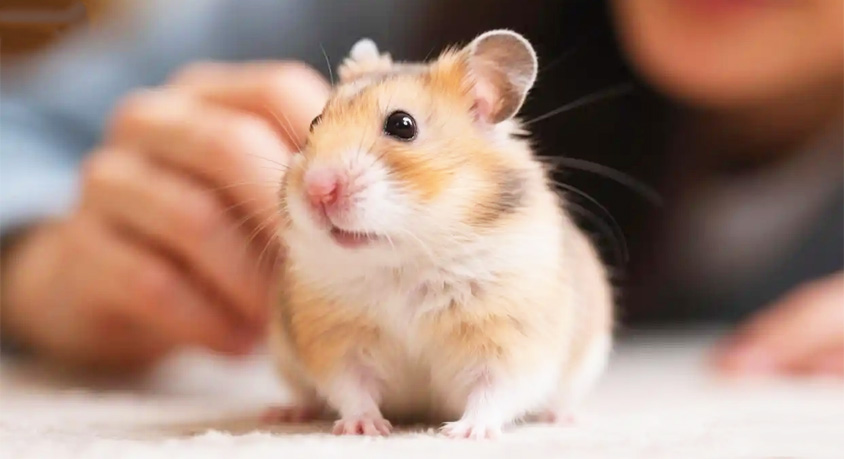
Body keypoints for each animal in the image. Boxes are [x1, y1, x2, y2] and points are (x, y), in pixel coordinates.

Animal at [266, 30, 614, 439]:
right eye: (315, 122)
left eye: (402, 125)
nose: (317, 189)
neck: (404, 260)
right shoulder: (335, 338)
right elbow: (351, 387)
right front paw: (363, 428)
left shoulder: (510, 336)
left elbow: (494, 389)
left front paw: (465, 433)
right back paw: (286, 413)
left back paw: (563, 418)